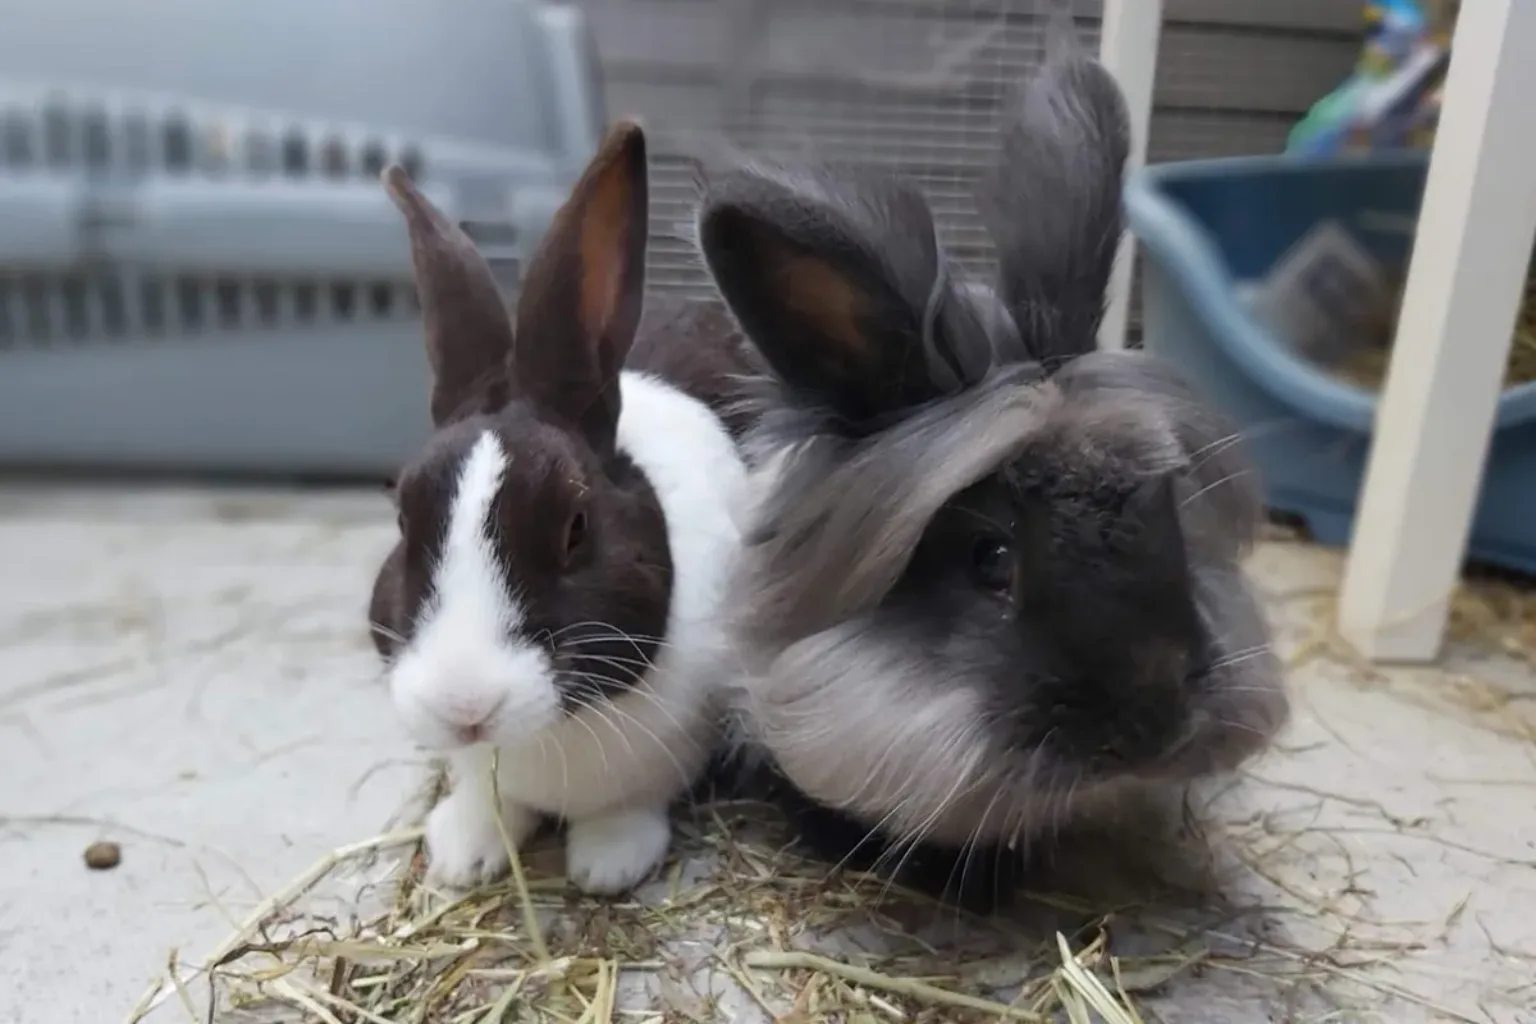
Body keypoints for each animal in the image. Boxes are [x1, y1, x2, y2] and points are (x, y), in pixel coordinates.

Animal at [366, 120, 766, 896]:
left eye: (575, 528)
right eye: (403, 520)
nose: (465, 706)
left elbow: (632, 804)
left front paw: (607, 863)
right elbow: (487, 797)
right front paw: (463, 851)